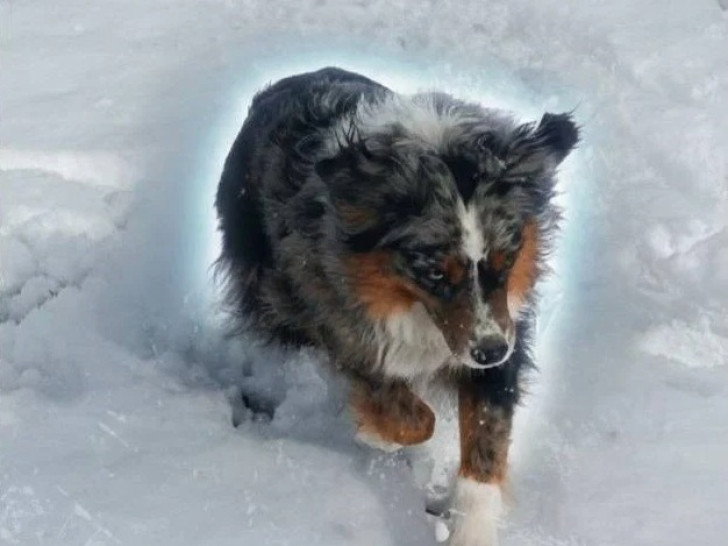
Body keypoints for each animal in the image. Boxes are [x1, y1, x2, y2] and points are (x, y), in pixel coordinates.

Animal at [215, 67, 578, 545]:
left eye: (507, 259)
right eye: (435, 272)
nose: (488, 352)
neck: (418, 308)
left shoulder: (506, 328)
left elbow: (487, 438)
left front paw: (472, 531)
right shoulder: (342, 318)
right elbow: (411, 414)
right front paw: (377, 436)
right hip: (270, 288)